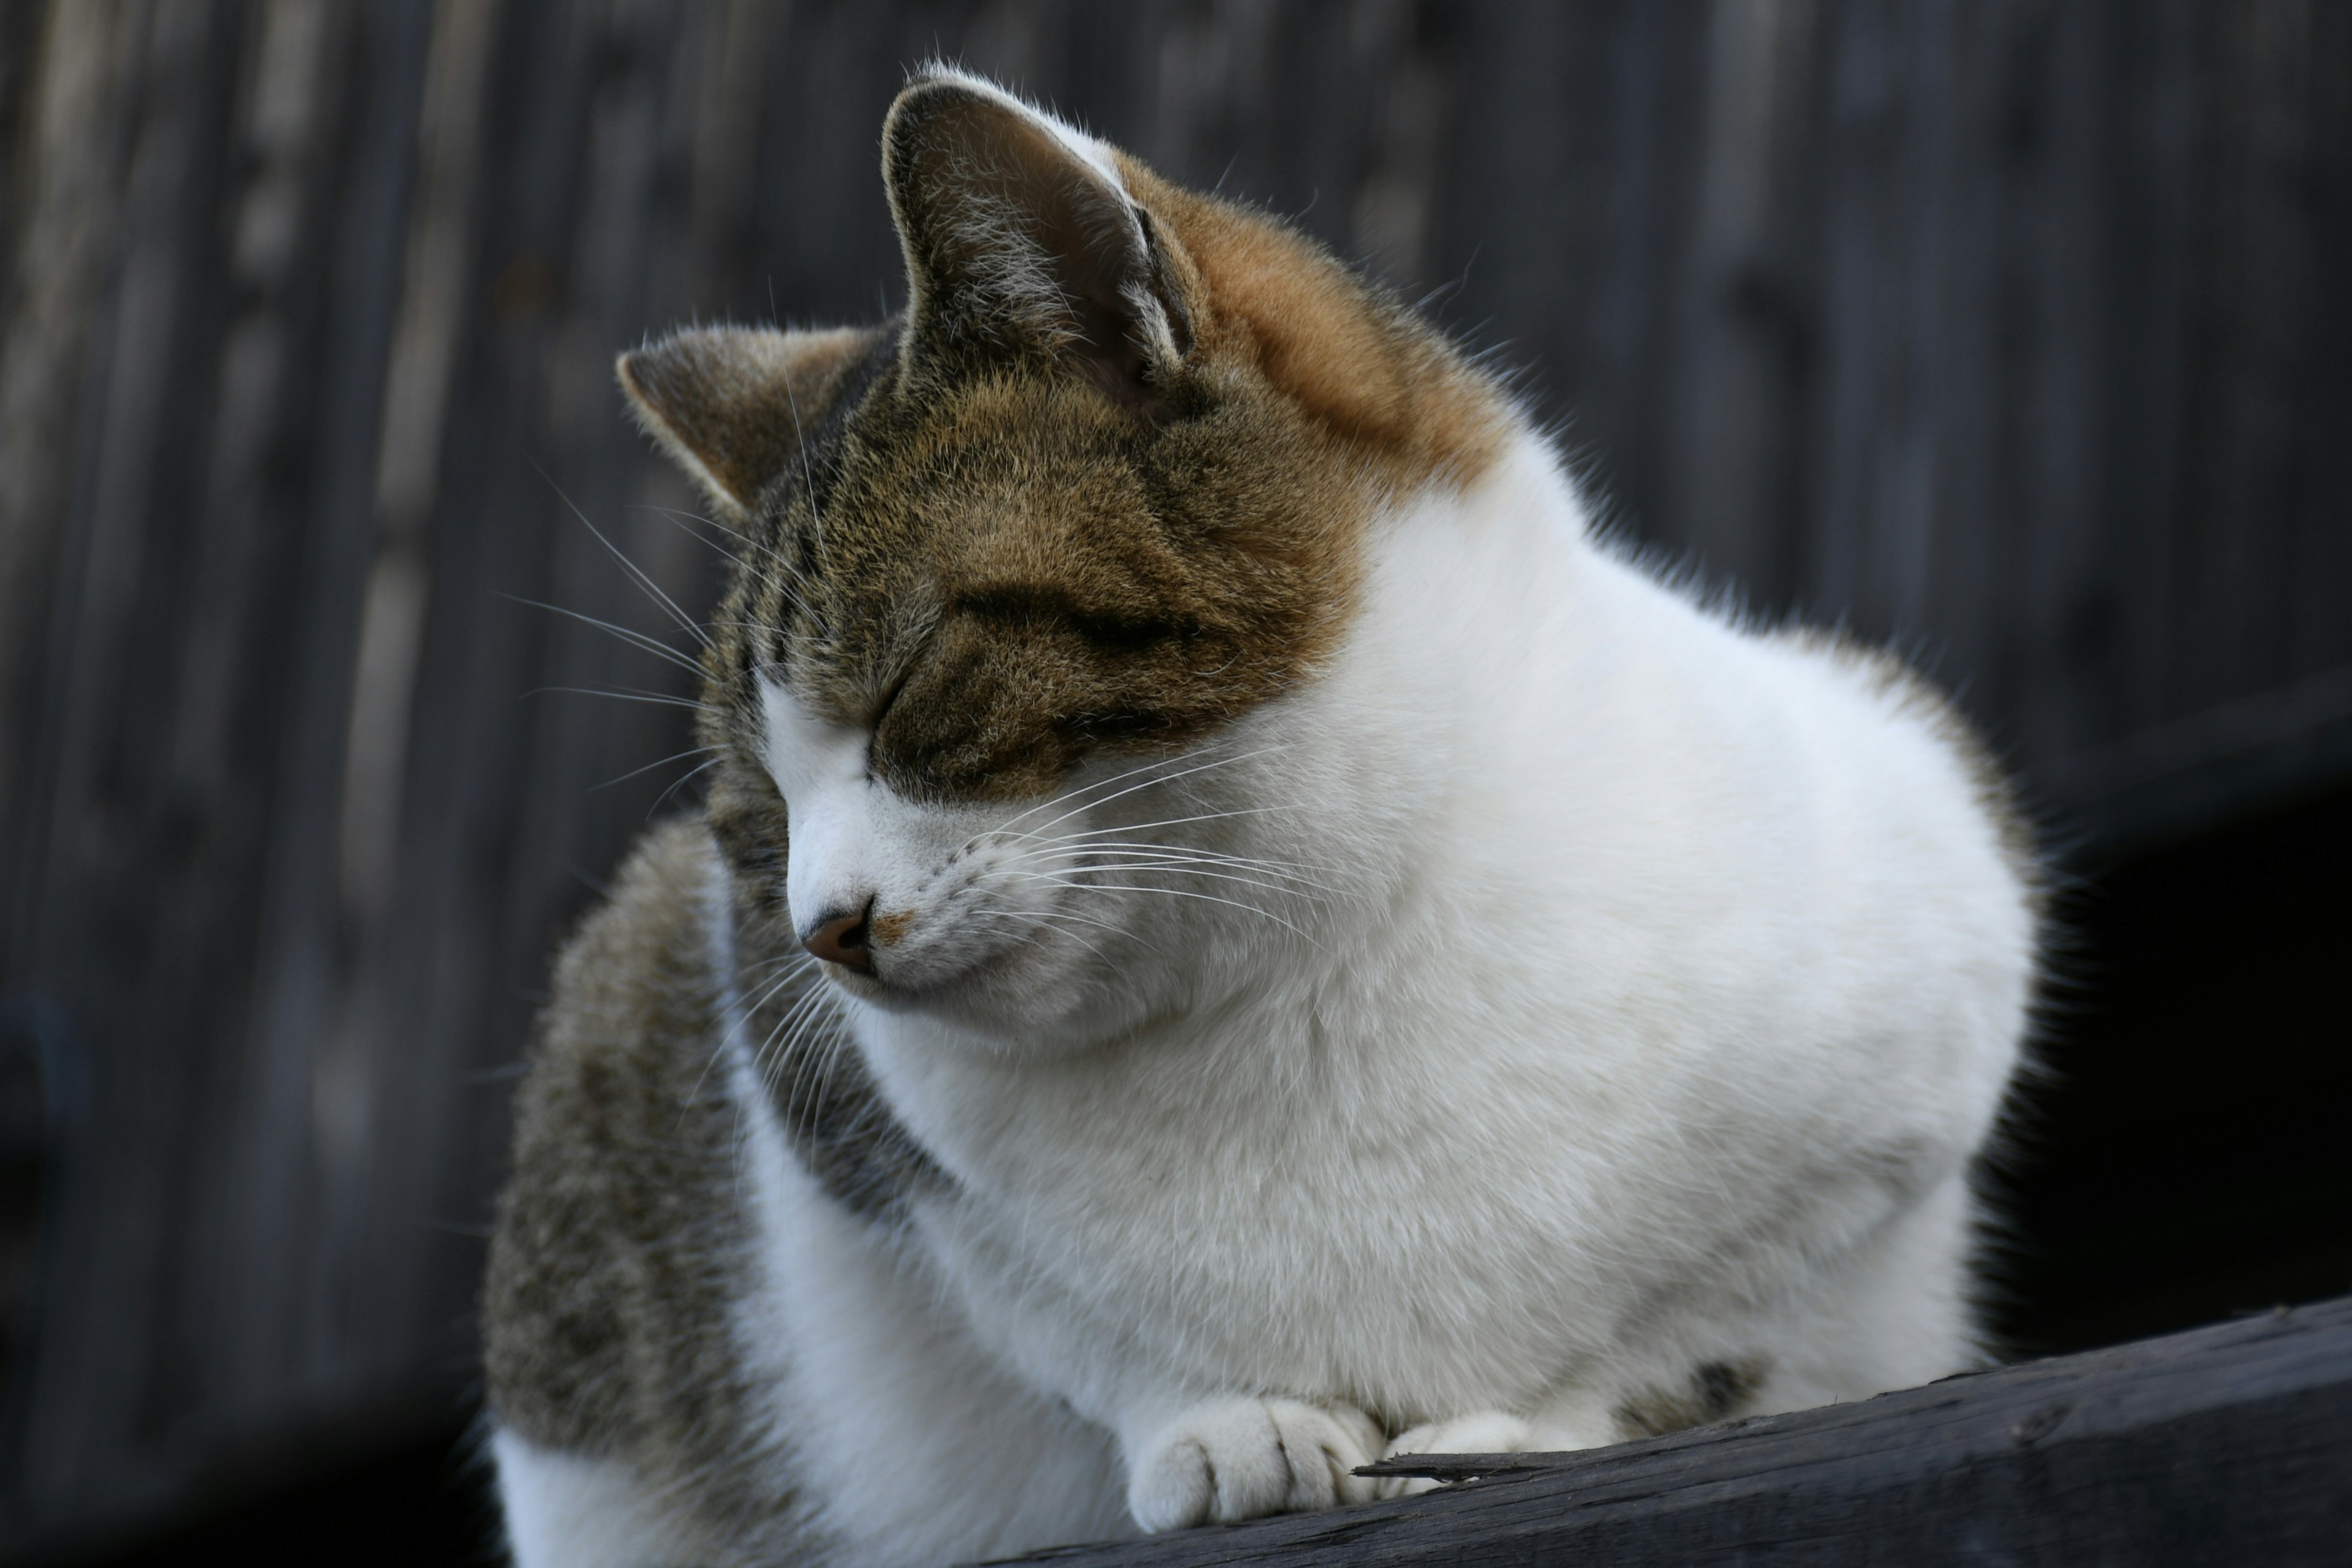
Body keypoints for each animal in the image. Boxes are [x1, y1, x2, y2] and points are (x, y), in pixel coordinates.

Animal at [482, 67, 2041, 1568]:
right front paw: (1227, 1420)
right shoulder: (840, 1124)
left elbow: (1701, 1326)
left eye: (908, 688)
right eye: (753, 817)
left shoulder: (1923, 991)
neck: (1295, 960)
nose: (826, 929)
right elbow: (1062, 1320)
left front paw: (1519, 1425)